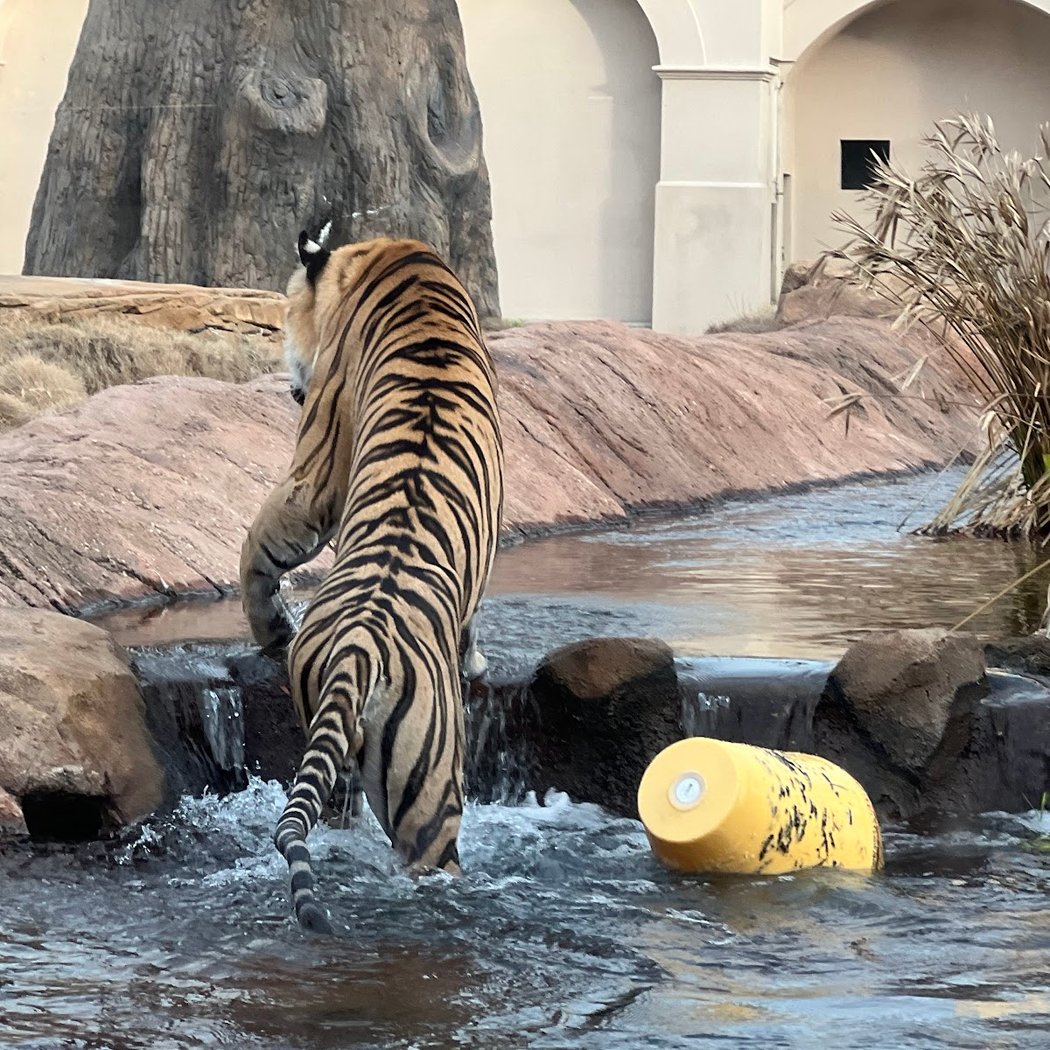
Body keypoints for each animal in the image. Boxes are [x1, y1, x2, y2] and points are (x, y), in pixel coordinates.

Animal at [238, 225, 504, 934]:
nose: (287, 379)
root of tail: (361, 648)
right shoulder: (314, 479)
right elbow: (257, 548)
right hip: (433, 802)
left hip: (335, 736)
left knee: (335, 806)